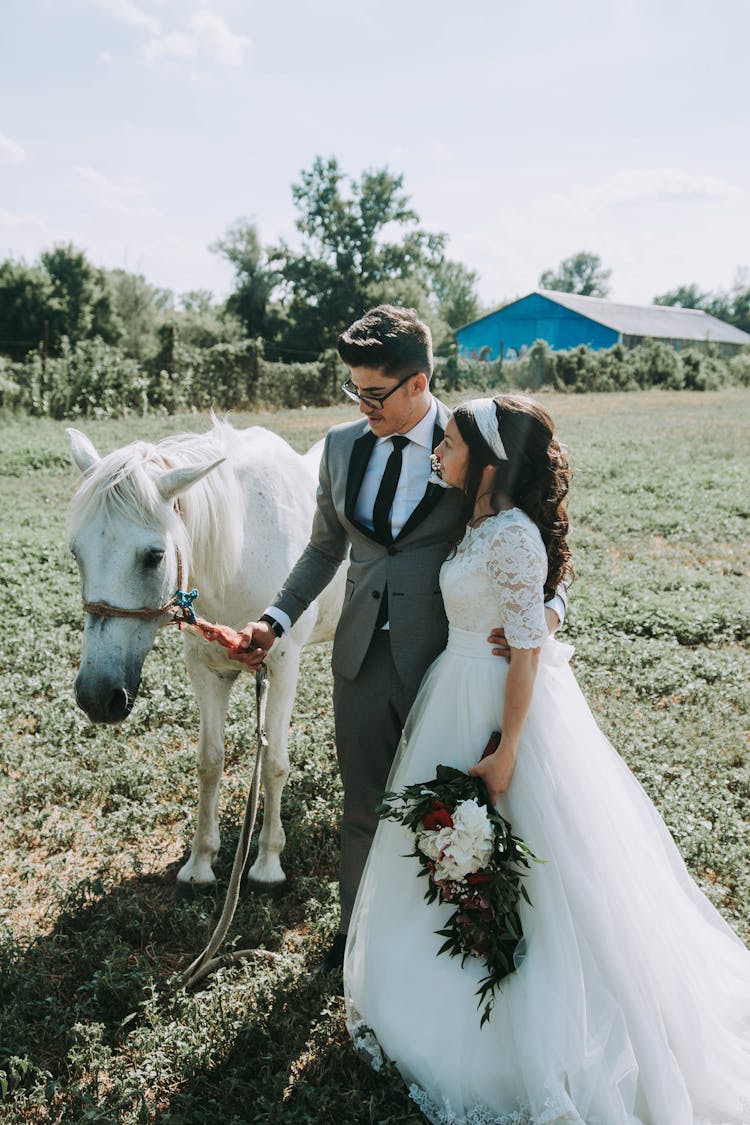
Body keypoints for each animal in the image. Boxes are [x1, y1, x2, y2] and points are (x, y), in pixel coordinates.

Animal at [66, 418, 344, 891]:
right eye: (76, 552)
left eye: (154, 555)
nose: (97, 697)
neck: (239, 554)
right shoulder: (206, 671)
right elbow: (209, 762)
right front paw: (200, 863)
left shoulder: (282, 667)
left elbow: (273, 763)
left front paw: (267, 862)